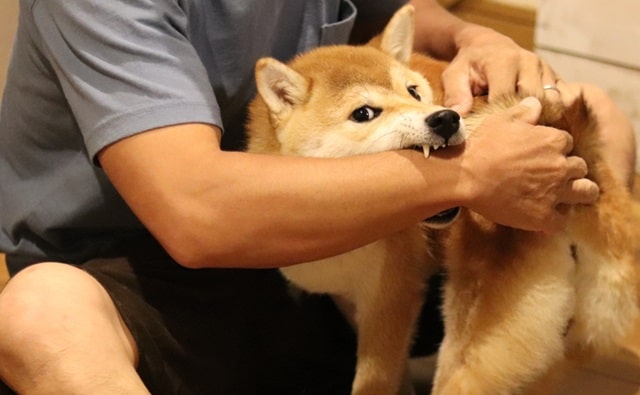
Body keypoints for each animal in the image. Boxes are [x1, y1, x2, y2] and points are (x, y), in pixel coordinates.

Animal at [246, 3, 640, 395]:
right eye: (363, 113)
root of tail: (572, 138)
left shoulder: (391, 301)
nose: (446, 118)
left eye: (413, 91)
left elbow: (376, 379)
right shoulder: (353, 302)